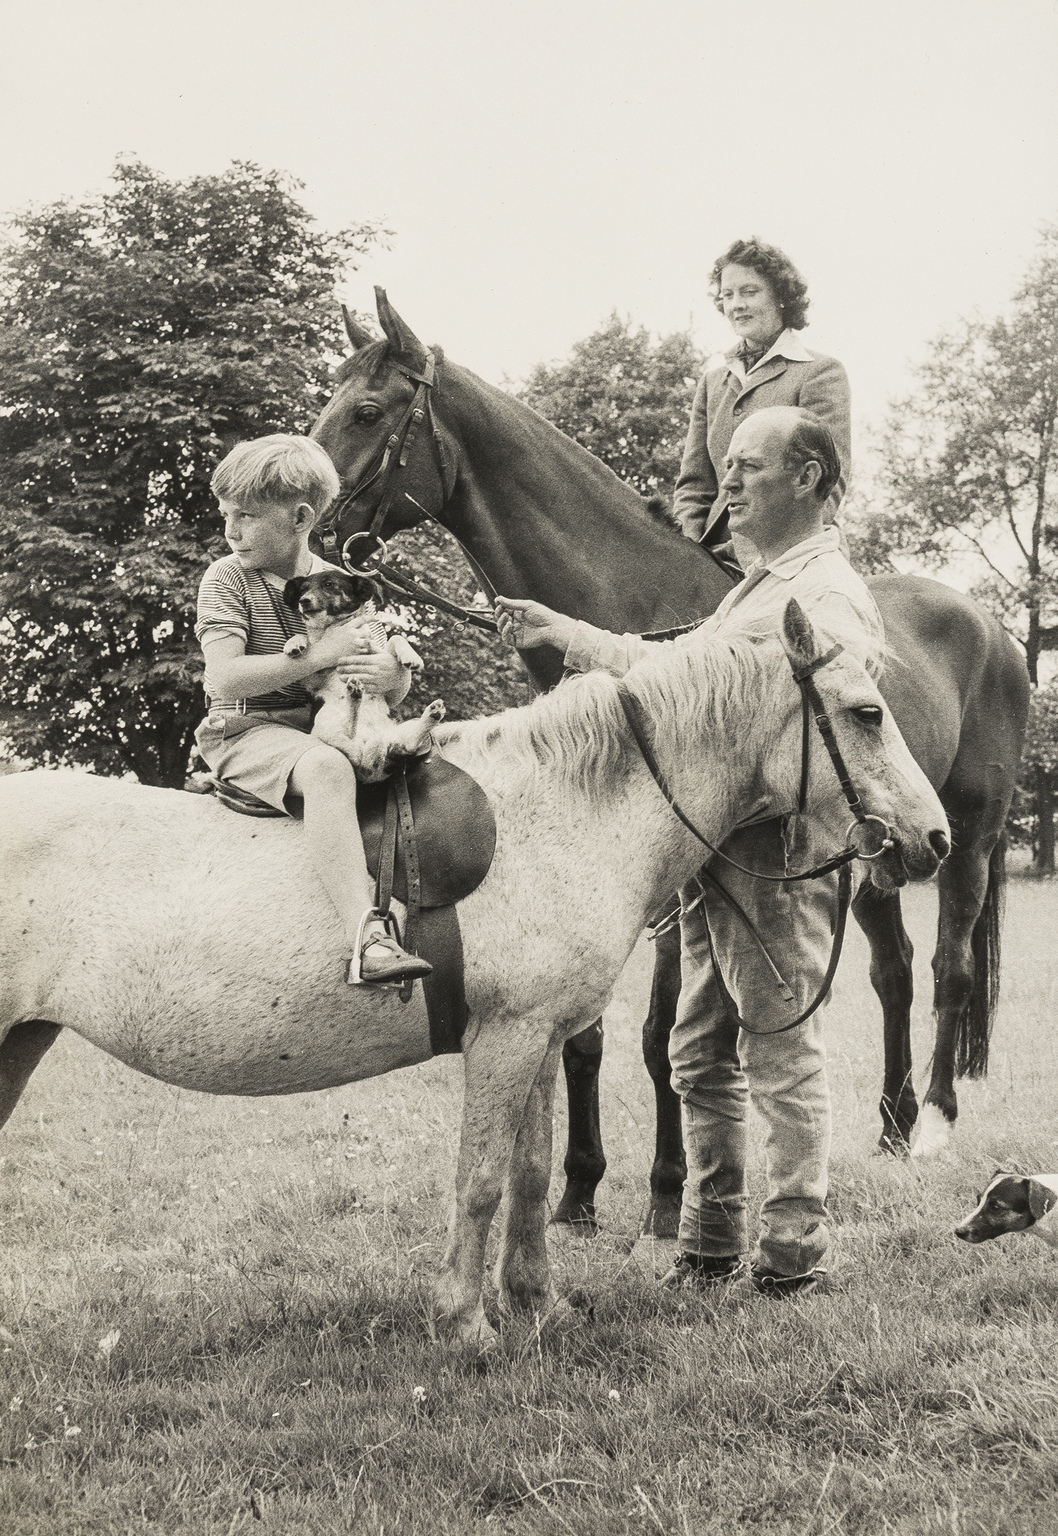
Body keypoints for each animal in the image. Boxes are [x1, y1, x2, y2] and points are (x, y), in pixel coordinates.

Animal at [0, 599, 945, 1345]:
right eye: (866, 713)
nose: (933, 837)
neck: (561, 807)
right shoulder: (508, 1038)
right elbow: (482, 1180)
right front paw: (465, 1321)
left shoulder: (539, 1039)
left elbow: (529, 1179)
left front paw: (536, 1307)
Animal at [282, 568, 442, 780]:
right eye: (303, 590)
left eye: (329, 585)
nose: (304, 601)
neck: (334, 629)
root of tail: (370, 770)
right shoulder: (313, 679)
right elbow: (305, 638)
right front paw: (294, 643)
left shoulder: (377, 652)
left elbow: (396, 638)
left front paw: (411, 657)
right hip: (323, 728)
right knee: (349, 737)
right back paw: (354, 695)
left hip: (398, 732)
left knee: (407, 745)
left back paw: (432, 713)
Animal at [310, 293, 1025, 1234]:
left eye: (366, 411)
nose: (312, 543)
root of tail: (994, 627)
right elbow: (585, 1038)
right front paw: (579, 1189)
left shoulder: (680, 881)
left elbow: (659, 1037)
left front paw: (664, 1189)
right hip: (875, 854)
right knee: (895, 972)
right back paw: (894, 1124)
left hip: (966, 839)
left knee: (948, 971)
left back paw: (935, 1119)